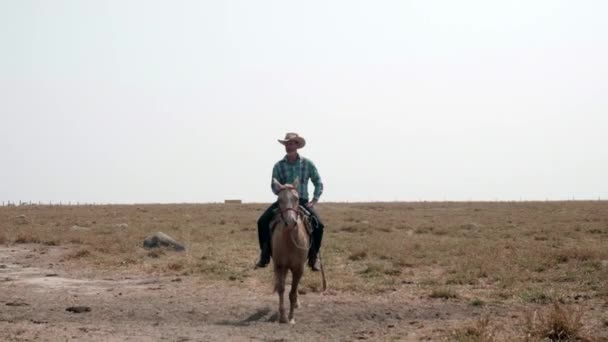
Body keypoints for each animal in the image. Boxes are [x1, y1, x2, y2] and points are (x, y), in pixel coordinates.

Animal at [270, 178, 308, 324]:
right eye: (279, 199)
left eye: (296, 198)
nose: (290, 222)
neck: (290, 241)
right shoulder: (279, 265)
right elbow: (281, 289)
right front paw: (282, 316)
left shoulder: (298, 268)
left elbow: (292, 293)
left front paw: (291, 317)